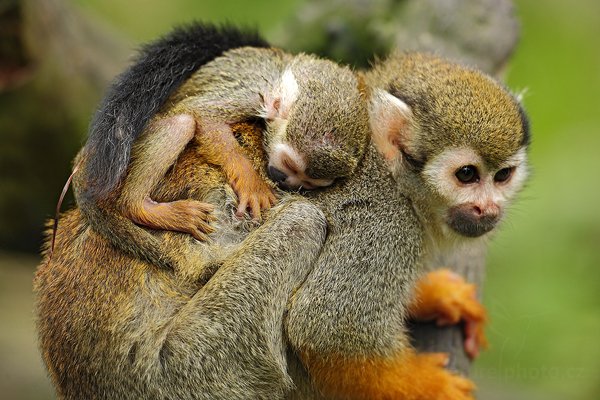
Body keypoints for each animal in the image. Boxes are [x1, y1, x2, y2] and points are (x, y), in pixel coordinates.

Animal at [81, 34, 366, 242]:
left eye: (308, 183)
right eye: (289, 165)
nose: (285, 180)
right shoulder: (254, 94)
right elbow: (204, 117)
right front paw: (251, 184)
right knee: (183, 123)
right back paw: (139, 207)